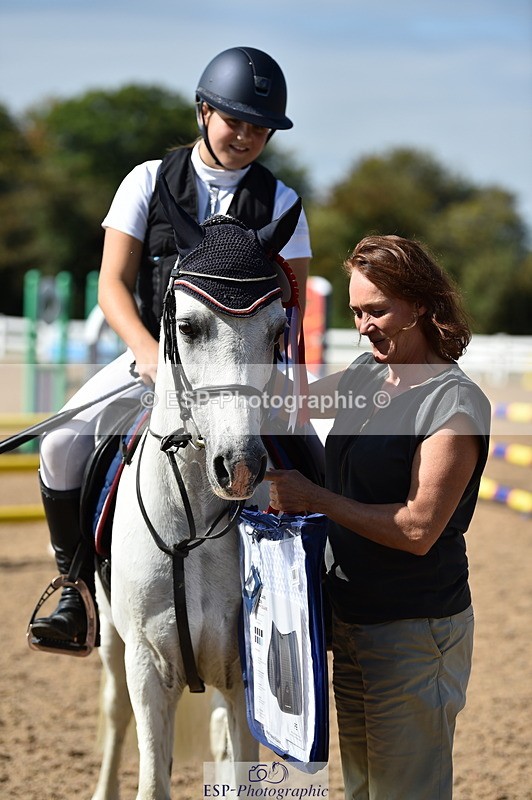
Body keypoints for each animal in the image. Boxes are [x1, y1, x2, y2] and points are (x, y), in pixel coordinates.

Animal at [90, 181, 305, 800]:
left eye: (277, 332)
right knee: (115, 714)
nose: (241, 467)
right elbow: (151, 779)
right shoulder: (145, 665)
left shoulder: (240, 675)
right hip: (112, 644)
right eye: (187, 327)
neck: (191, 526)